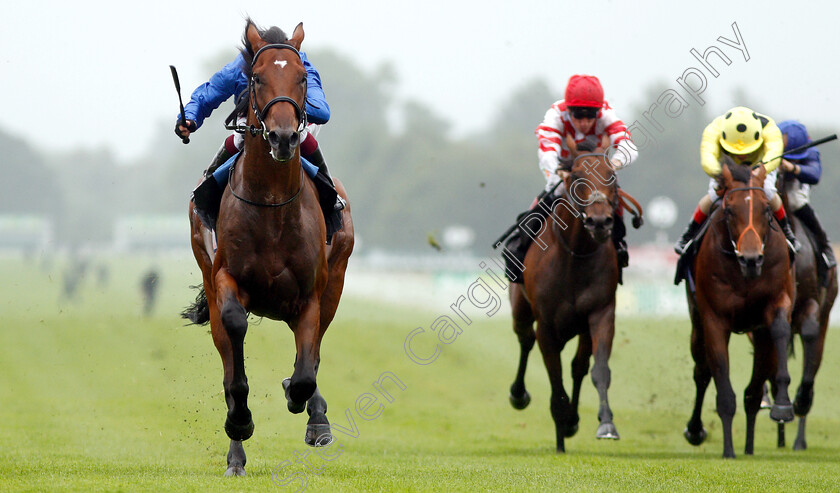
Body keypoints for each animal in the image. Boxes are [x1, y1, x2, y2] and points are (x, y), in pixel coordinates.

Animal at [182, 21, 352, 474]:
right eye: (256, 78)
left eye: (302, 78)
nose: (283, 137)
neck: (273, 204)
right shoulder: (225, 278)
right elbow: (235, 340)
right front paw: (239, 423)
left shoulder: (312, 294)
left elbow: (306, 372)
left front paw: (303, 402)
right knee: (228, 356)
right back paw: (236, 454)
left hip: (334, 280)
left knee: (314, 352)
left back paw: (314, 416)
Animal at [506, 136, 624, 452]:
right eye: (577, 176)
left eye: (612, 176)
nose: (599, 222)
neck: (575, 255)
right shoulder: (547, 325)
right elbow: (554, 377)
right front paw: (561, 430)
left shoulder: (600, 312)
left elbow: (599, 369)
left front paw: (605, 423)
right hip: (521, 310)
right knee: (525, 339)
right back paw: (520, 395)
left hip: (580, 327)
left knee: (578, 366)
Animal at [684, 159, 796, 458]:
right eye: (730, 209)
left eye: (766, 209)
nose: (751, 259)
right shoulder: (714, 319)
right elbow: (722, 385)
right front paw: (727, 451)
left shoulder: (776, 303)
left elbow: (780, 329)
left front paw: (783, 405)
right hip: (697, 325)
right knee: (702, 372)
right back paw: (697, 430)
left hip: (760, 337)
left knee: (753, 393)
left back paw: (748, 446)